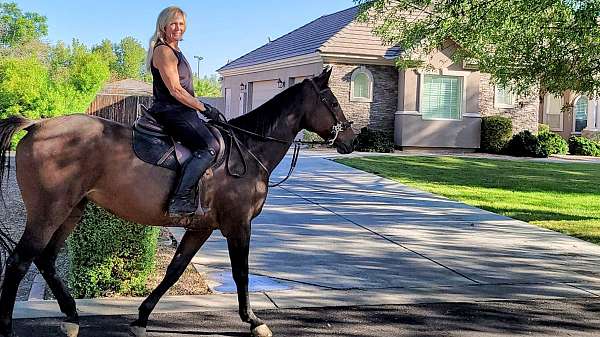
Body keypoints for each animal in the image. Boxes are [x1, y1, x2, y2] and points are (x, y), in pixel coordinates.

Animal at [0, 69, 354, 336]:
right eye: (333, 101)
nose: (351, 140)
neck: (248, 149)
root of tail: (37, 126)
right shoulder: (239, 225)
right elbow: (241, 272)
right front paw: (253, 320)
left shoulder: (202, 227)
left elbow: (175, 269)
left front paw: (142, 317)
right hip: (48, 212)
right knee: (19, 262)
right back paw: (10, 326)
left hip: (72, 210)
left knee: (45, 259)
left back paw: (72, 315)